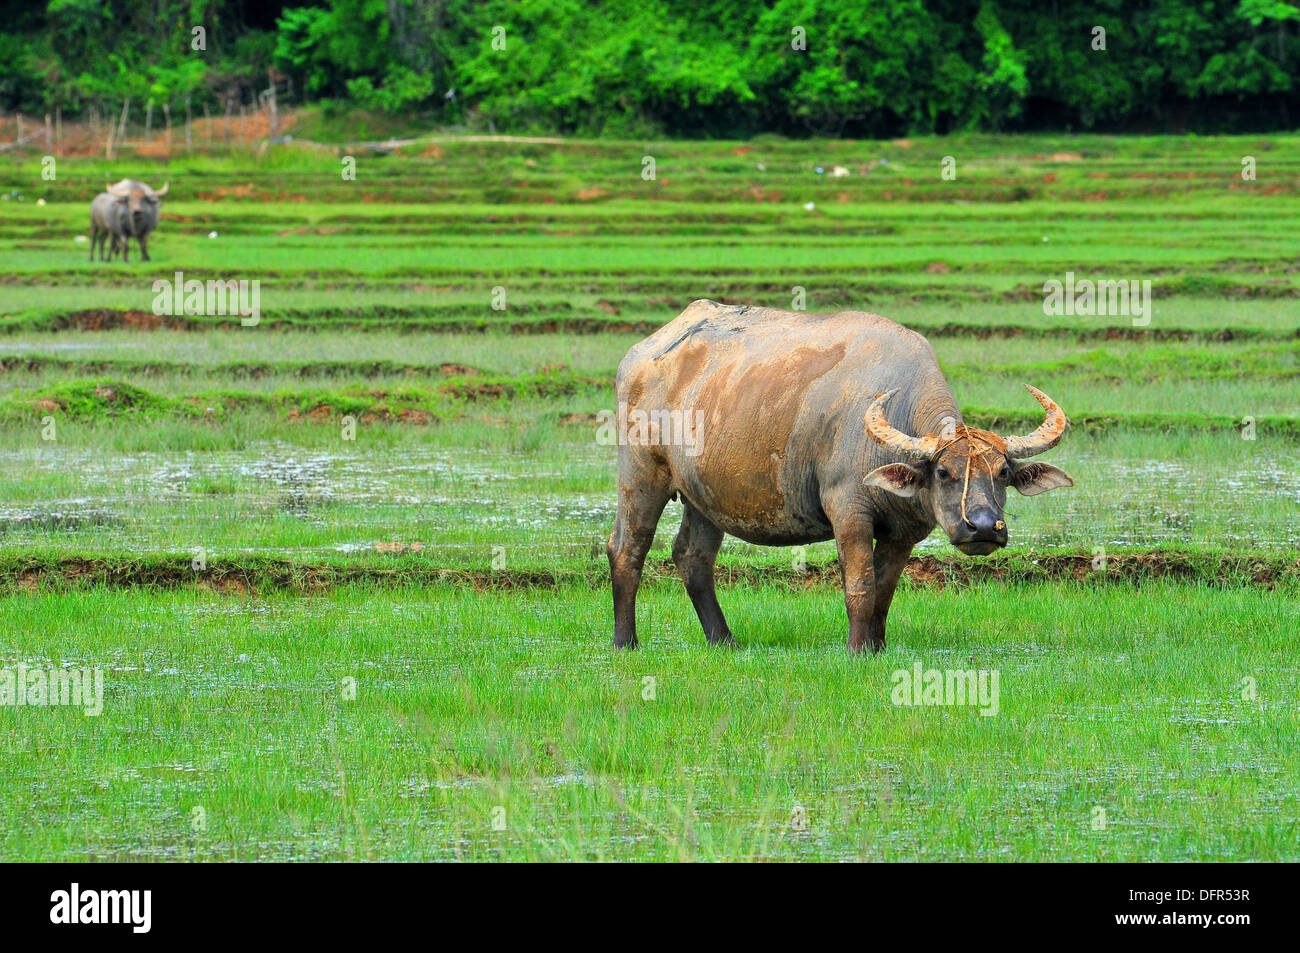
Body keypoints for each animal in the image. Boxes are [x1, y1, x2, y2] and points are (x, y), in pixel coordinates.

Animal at [608, 301, 1076, 650]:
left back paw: (724, 641)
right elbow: (860, 584)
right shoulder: (848, 510)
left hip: (705, 496)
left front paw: (877, 647)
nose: (982, 526)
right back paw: (626, 642)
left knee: (693, 557)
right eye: (944, 472)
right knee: (627, 548)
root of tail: (642, 352)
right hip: (641, 474)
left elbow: (885, 590)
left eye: (1002, 472)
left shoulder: (904, 530)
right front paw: (855, 650)